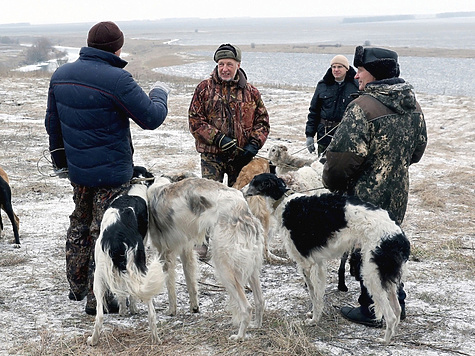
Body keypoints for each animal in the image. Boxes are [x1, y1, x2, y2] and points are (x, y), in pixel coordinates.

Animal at [87, 168, 165, 346]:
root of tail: (118, 237)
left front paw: (125, 310)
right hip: (133, 268)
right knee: (150, 311)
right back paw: (156, 339)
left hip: (99, 276)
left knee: (100, 315)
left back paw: (93, 340)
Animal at [147, 177, 266, 340]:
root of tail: (242, 208)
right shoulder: (186, 250)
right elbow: (191, 282)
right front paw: (194, 307)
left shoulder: (165, 254)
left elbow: (170, 286)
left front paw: (171, 311)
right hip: (251, 268)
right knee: (260, 301)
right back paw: (257, 324)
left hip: (224, 269)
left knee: (247, 308)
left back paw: (239, 336)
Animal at [244, 173, 410, 344]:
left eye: (254, 182)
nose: (242, 191)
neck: (283, 201)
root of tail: (398, 235)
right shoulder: (318, 264)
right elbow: (318, 294)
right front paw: (314, 315)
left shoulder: (306, 264)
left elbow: (313, 295)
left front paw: (313, 320)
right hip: (385, 276)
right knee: (397, 310)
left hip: (372, 275)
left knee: (390, 316)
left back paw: (384, 341)